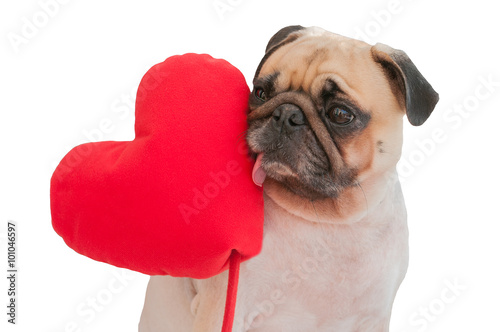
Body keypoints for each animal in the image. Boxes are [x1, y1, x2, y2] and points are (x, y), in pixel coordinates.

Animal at [140, 26, 438, 332]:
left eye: (340, 114)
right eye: (260, 93)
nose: (286, 114)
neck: (325, 218)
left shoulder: (373, 317)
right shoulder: (224, 310)